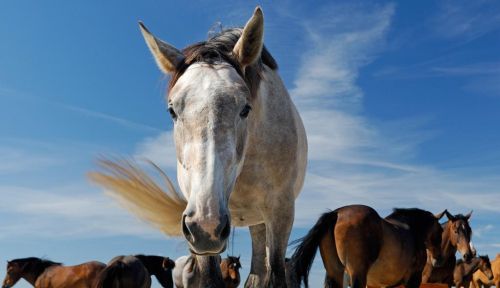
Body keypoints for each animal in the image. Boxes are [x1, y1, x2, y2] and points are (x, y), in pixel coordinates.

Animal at [290, 205, 446, 288]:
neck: (413, 230)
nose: (438, 259)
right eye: (440, 231)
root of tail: (337, 213)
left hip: (335, 273)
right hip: (357, 273)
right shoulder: (413, 279)